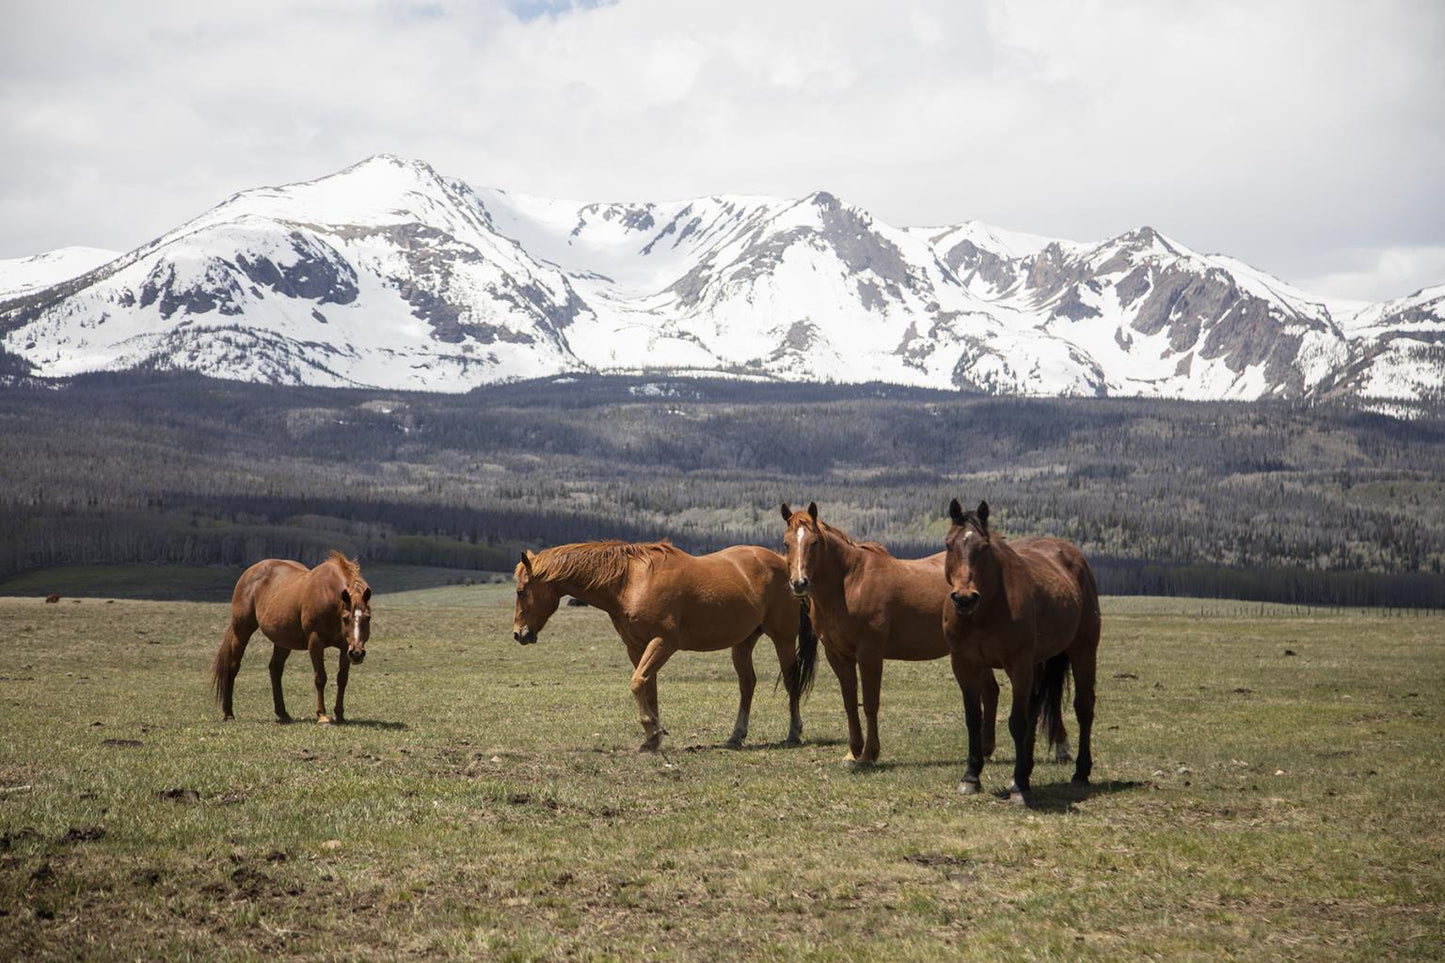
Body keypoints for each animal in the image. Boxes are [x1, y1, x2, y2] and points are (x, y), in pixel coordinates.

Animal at [211, 551, 372, 724]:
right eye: (345, 618)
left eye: (367, 618)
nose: (357, 653)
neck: (327, 595)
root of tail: (249, 572)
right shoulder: (315, 642)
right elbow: (320, 678)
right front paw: (322, 716)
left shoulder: (344, 647)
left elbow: (342, 679)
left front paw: (340, 715)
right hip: (241, 631)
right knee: (233, 666)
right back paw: (228, 713)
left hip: (283, 641)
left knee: (275, 669)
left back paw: (282, 713)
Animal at [512, 539, 817, 752]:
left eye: (520, 591)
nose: (518, 634)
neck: (630, 582)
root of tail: (785, 566)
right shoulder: (636, 647)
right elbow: (649, 688)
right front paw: (653, 738)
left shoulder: (663, 643)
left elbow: (637, 683)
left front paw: (652, 730)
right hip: (743, 643)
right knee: (747, 684)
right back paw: (736, 736)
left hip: (782, 638)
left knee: (791, 680)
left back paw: (793, 733)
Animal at [780, 502, 1006, 765]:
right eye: (786, 543)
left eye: (814, 542)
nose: (799, 583)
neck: (851, 582)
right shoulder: (838, 656)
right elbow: (850, 703)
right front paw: (853, 752)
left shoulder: (869, 654)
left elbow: (870, 703)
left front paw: (869, 754)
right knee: (990, 691)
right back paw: (986, 749)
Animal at [943, 499, 1100, 805]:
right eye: (949, 545)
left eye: (984, 547)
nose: (965, 598)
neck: (986, 609)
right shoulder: (965, 665)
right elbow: (974, 718)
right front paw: (971, 776)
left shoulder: (1018, 665)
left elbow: (1017, 721)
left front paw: (1020, 788)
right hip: (1038, 664)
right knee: (1035, 707)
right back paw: (1024, 771)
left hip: (1083, 651)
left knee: (1084, 707)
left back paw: (1080, 773)